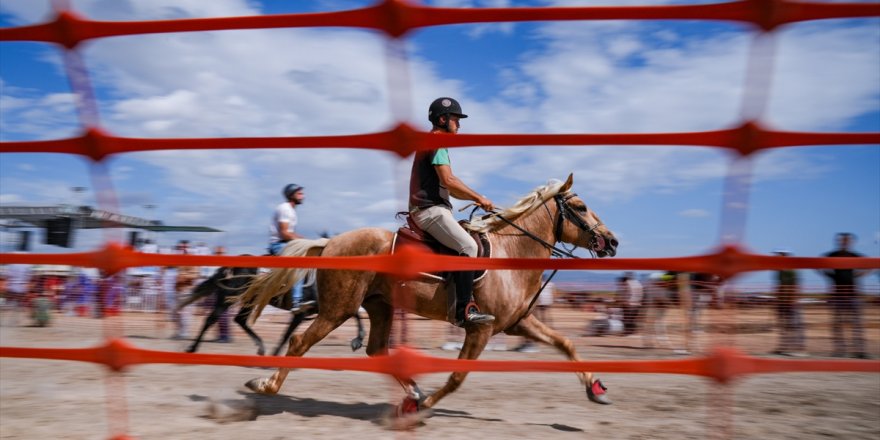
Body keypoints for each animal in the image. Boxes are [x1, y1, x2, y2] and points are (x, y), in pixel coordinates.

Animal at [179, 264, 364, 354]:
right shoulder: (303, 313)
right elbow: (287, 334)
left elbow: (355, 313)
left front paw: (358, 339)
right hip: (227, 298)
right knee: (211, 319)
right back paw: (191, 348)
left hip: (249, 301)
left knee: (239, 320)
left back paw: (261, 348)